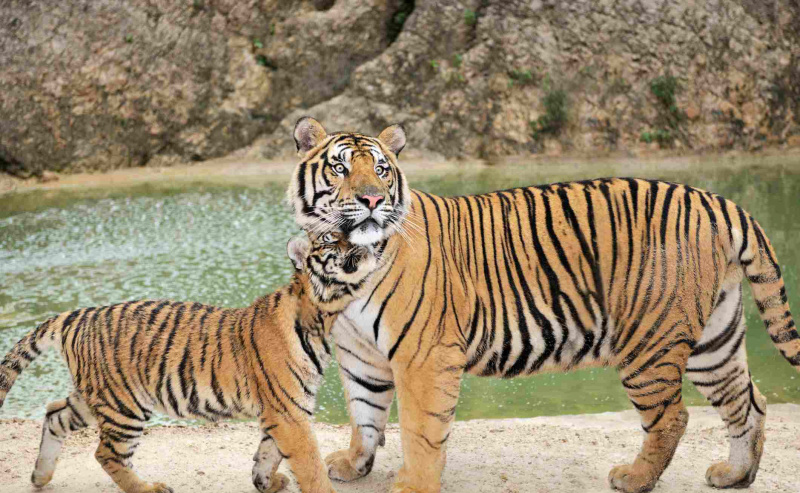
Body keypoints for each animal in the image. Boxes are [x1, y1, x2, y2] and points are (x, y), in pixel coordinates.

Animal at [0, 231, 383, 493]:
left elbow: (267, 453)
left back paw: (40, 476)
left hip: (95, 397)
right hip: (125, 405)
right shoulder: (289, 413)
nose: (364, 237)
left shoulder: (283, 410)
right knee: (106, 454)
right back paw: (148, 489)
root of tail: (77, 315)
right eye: (333, 238)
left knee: (54, 413)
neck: (323, 317)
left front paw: (267, 482)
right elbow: (310, 465)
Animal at [287, 117, 799, 493]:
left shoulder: (424, 356)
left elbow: (419, 429)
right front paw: (354, 465)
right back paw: (735, 475)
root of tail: (720, 201)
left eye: (382, 170)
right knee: (748, 402)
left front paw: (414, 485)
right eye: (339, 169)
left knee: (673, 416)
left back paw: (634, 478)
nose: (373, 199)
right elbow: (364, 414)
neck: (347, 257)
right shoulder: (359, 354)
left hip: (649, 341)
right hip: (714, 339)